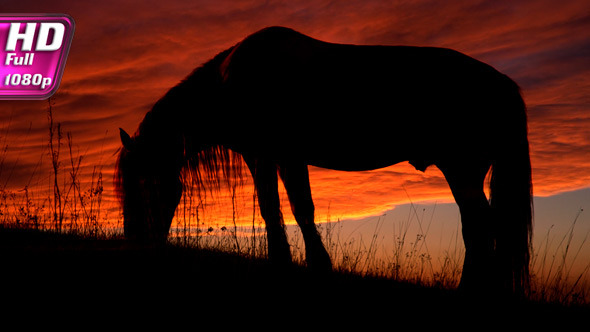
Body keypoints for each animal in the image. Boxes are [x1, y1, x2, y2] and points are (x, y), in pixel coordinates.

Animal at [117, 26, 536, 296]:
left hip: (461, 169)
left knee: (479, 226)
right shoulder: (274, 157)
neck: (231, 84)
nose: (136, 244)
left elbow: (290, 208)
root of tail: (504, 84)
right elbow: (285, 208)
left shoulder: (276, 154)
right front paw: (299, 265)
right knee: (482, 226)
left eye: (143, 184)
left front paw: (302, 265)